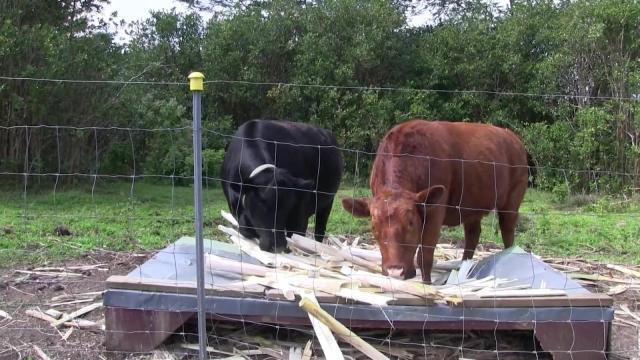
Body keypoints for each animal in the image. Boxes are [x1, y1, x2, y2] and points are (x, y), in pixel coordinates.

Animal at [220, 119, 342, 252]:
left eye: (288, 206)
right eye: (260, 204)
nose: (277, 246)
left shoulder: (300, 213)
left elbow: (296, 236)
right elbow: (246, 231)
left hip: (327, 202)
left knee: (318, 232)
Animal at [342, 119, 528, 282]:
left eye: (411, 223)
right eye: (373, 226)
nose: (395, 271)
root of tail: (512, 136)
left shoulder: (435, 210)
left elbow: (425, 256)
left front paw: (427, 284)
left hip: (512, 200)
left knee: (507, 231)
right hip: (472, 204)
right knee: (472, 234)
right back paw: (464, 268)